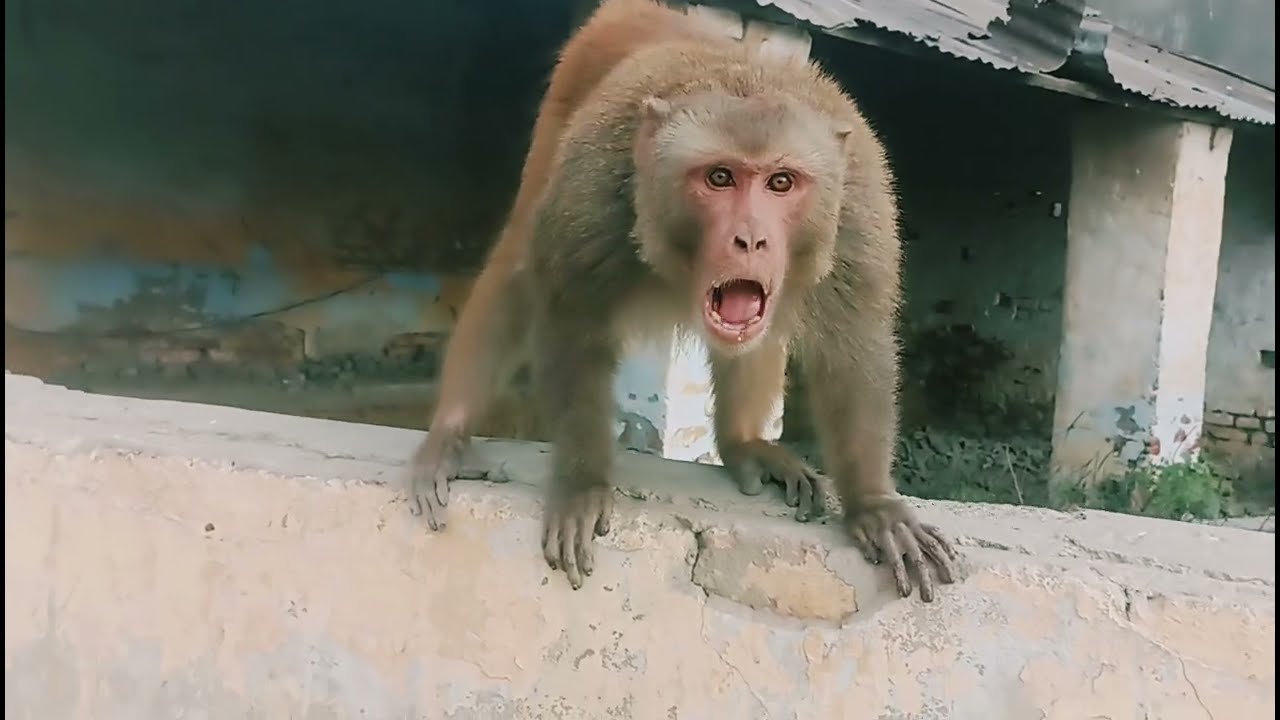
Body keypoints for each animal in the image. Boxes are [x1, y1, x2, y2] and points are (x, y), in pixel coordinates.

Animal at [406, 0, 960, 602]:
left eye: (781, 182)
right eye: (720, 177)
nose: (750, 239)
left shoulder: (858, 214)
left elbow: (856, 345)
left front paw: (874, 506)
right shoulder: (594, 188)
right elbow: (569, 313)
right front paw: (582, 482)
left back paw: (743, 443)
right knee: (518, 262)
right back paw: (452, 426)